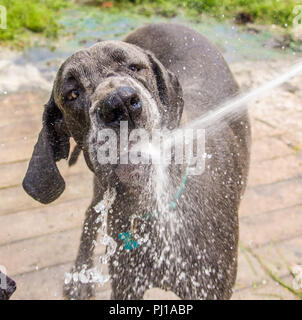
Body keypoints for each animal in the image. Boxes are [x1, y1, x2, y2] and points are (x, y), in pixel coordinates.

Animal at [22, 23, 250, 300]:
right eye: (72, 93)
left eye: (134, 67)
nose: (120, 104)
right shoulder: (127, 283)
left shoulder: (209, 286)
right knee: (90, 217)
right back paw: (80, 277)